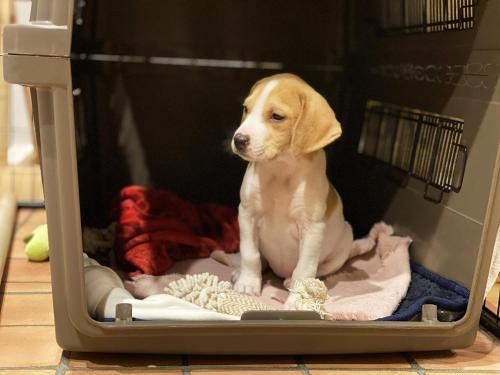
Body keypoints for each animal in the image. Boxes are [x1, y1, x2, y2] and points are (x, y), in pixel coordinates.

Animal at [230, 73, 376, 308]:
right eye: (246, 109)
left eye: (277, 116)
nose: (239, 140)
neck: (280, 170)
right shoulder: (246, 214)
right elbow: (250, 254)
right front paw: (248, 284)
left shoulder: (312, 230)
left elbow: (304, 269)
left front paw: (297, 299)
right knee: (262, 259)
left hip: (343, 242)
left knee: (318, 271)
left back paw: (292, 281)